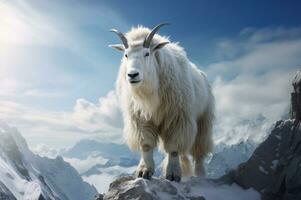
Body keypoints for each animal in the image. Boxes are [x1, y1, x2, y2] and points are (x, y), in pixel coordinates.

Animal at [109, 23, 213, 181]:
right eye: (126, 55)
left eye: (147, 53)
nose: (132, 75)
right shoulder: (140, 119)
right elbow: (146, 145)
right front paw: (144, 171)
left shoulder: (177, 118)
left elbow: (174, 148)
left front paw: (173, 174)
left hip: (203, 120)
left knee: (198, 150)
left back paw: (200, 174)